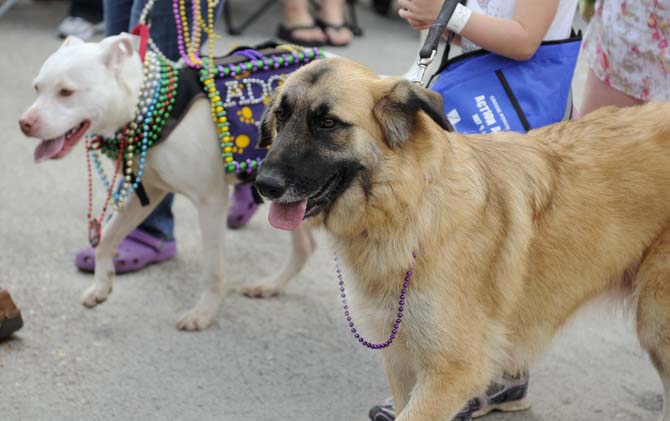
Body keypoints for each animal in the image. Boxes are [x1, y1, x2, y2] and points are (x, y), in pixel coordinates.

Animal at [19, 33, 316, 328]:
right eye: (36, 88)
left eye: (66, 92)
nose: (24, 124)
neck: (142, 106)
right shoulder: (147, 191)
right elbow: (107, 237)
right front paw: (101, 287)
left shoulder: (211, 201)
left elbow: (213, 267)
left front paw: (204, 314)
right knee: (305, 248)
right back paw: (270, 286)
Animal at [253, 56, 670, 420]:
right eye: (281, 115)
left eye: (328, 122)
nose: (263, 185)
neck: (411, 206)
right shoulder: (404, 361)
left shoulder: (453, 372)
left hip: (657, 324)